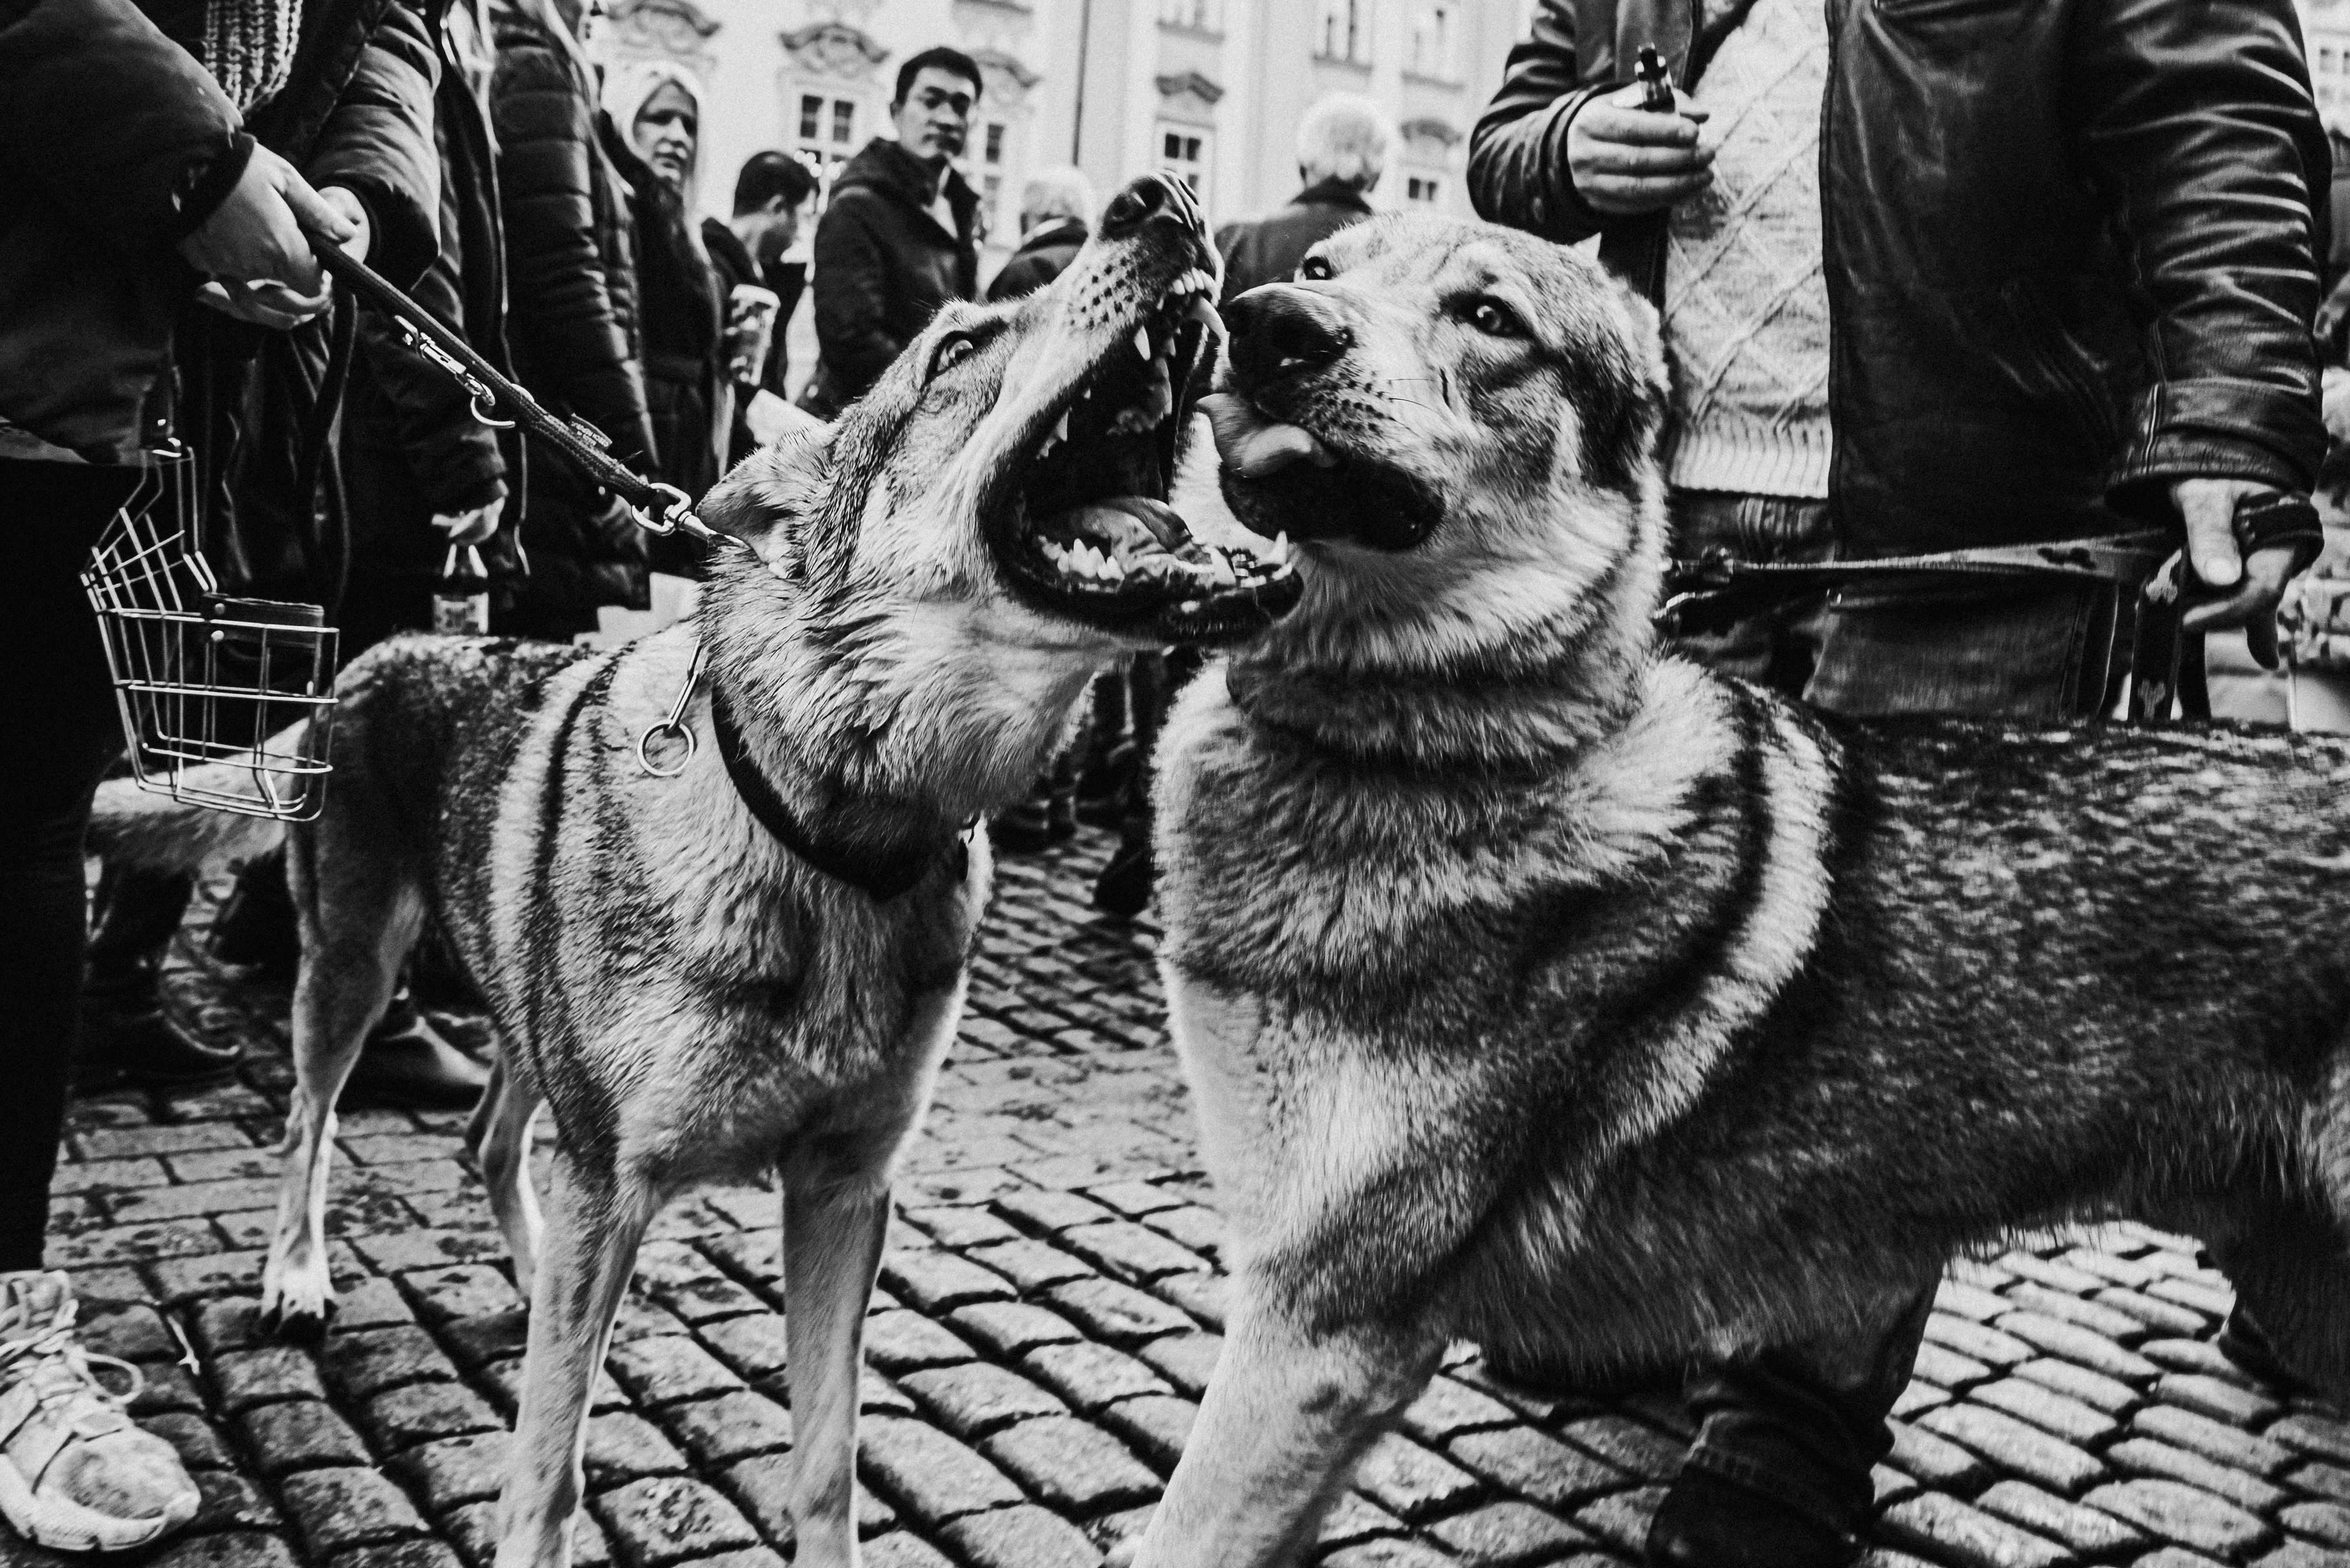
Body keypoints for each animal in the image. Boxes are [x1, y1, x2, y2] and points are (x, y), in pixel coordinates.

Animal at [91, 172, 1297, 1568]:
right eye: (955, 348)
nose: (1164, 195)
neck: (831, 834)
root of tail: (370, 657)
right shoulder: (616, 1176)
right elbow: (544, 1474)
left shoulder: (843, 1192)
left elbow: (823, 1464)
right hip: (350, 972)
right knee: (310, 1119)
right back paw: (297, 1273)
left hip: (526, 1029)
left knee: (488, 1144)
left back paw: (521, 1270)